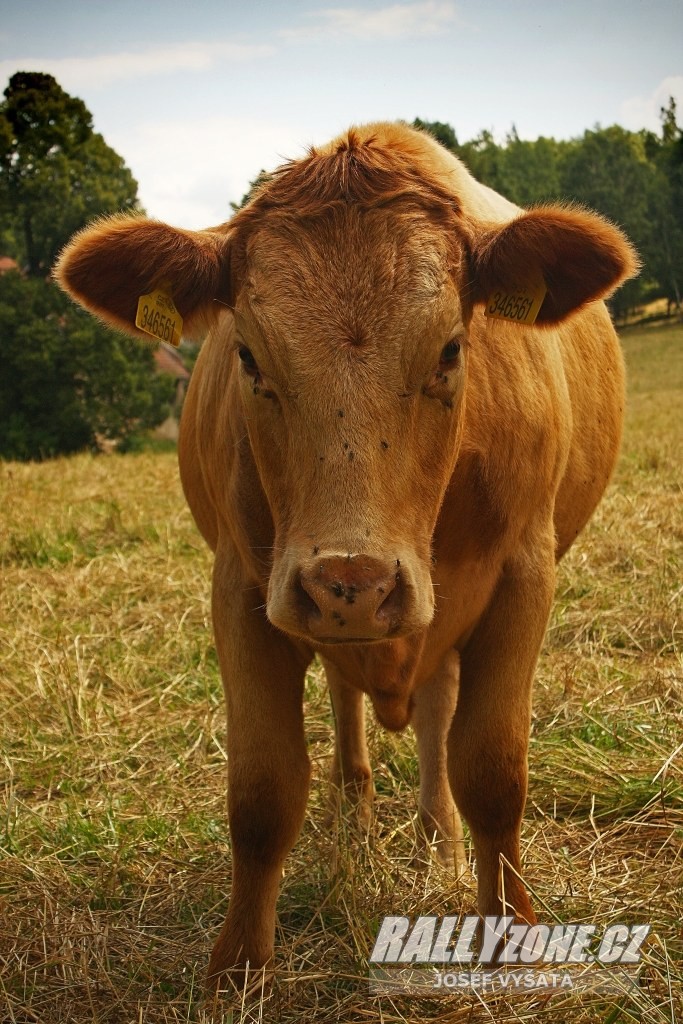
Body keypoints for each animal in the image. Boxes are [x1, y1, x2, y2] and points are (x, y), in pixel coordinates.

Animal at [56, 119, 638, 983]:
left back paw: (436, 838)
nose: (352, 582)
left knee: (436, 717)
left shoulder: (521, 579)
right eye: (249, 356)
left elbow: (490, 769)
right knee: (346, 706)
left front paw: (509, 932)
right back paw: (356, 820)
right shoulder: (244, 590)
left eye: (451, 349)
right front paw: (237, 966)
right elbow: (262, 790)